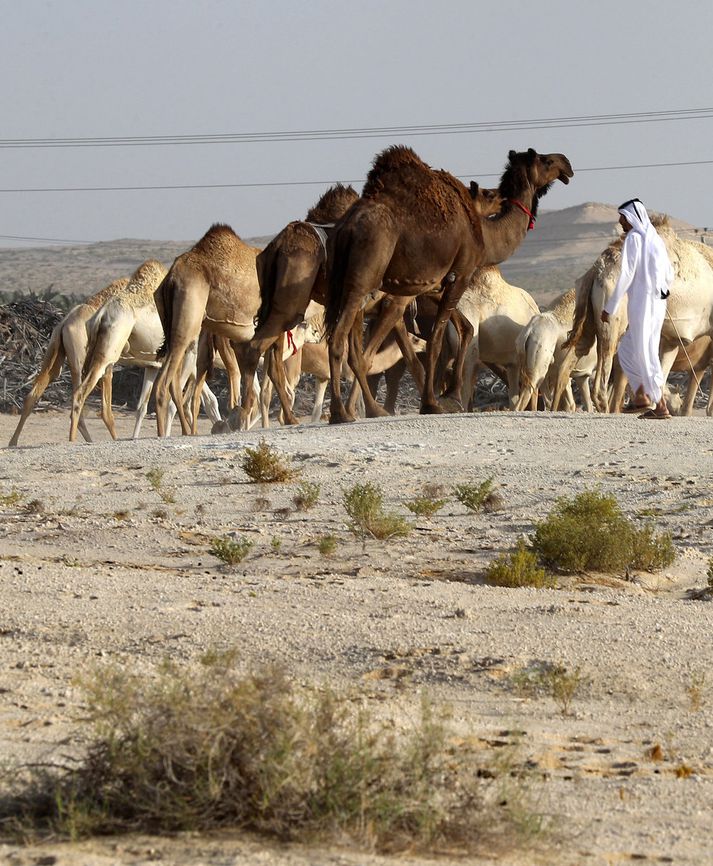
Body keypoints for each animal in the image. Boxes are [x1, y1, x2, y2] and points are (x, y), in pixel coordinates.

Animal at [8, 276, 129, 448]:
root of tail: (63, 325)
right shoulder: (107, 363)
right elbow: (107, 411)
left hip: (54, 356)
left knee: (33, 395)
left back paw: (13, 442)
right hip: (79, 361)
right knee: (78, 401)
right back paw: (74, 440)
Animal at [153, 223, 262, 436]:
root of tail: (171, 279)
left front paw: (236, 418)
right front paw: (237, 419)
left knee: (177, 384)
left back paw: (188, 431)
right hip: (187, 325)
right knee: (164, 384)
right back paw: (165, 434)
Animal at [560, 221, 713, 414]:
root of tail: (596, 272)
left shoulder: (671, 339)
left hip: (588, 318)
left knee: (571, 360)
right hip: (613, 318)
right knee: (604, 376)